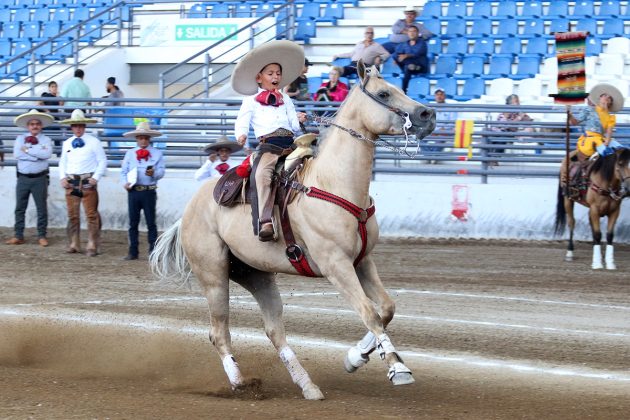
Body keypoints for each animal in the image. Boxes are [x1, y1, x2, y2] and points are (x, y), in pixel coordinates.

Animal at [151, 62, 436, 400]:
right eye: (383, 94)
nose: (427, 114)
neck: (332, 182)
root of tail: (188, 212)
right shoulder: (336, 265)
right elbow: (369, 312)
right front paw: (397, 367)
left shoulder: (362, 261)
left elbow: (386, 309)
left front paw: (356, 356)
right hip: (214, 275)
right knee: (219, 332)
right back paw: (240, 383)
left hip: (256, 275)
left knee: (275, 331)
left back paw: (307, 385)